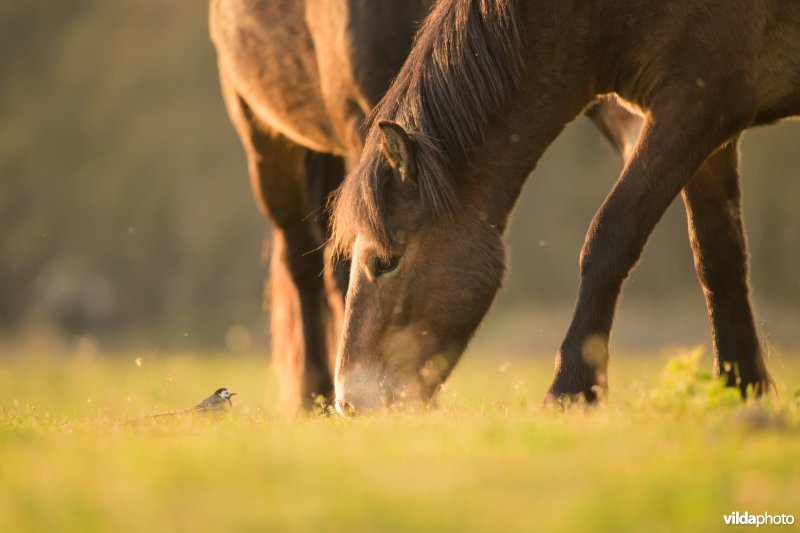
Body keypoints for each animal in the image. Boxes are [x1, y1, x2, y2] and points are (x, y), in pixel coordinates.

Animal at [332, 0, 800, 412]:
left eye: (385, 261)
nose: (349, 402)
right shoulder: (709, 126)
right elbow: (718, 256)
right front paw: (742, 387)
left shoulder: (697, 107)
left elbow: (611, 235)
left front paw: (571, 390)